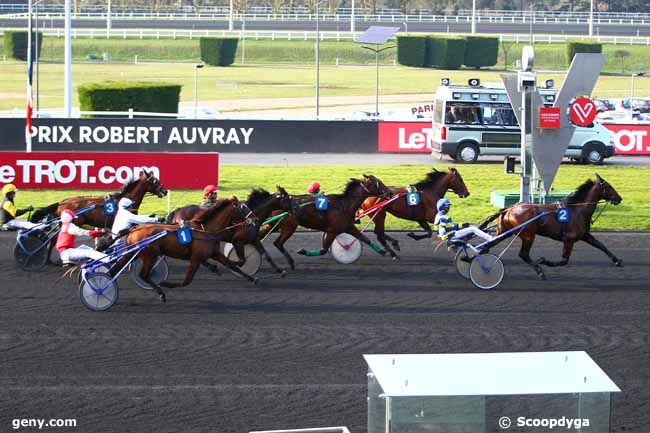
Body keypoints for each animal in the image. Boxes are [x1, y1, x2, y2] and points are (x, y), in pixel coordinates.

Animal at [116, 198, 256, 300]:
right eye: (244, 207)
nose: (255, 219)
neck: (206, 230)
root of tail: (134, 229)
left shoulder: (215, 253)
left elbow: (231, 264)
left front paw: (253, 279)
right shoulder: (196, 258)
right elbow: (187, 281)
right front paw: (166, 283)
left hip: (134, 254)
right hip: (150, 256)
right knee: (144, 275)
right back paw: (161, 292)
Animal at [258, 173, 390, 268]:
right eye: (378, 183)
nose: (389, 192)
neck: (344, 205)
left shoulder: (348, 227)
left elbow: (365, 239)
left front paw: (385, 252)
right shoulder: (332, 230)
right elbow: (323, 250)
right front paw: (303, 251)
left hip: (272, 225)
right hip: (289, 226)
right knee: (278, 243)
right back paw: (290, 262)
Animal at [478, 175, 620, 280]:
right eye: (609, 186)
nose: (619, 198)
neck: (578, 210)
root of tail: (509, 209)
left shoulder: (584, 235)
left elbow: (601, 245)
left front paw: (617, 260)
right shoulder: (569, 239)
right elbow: (564, 261)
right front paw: (543, 261)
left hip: (505, 232)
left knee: (487, 246)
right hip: (528, 234)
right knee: (523, 254)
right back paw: (540, 271)